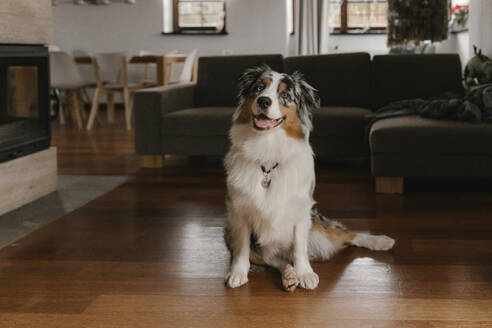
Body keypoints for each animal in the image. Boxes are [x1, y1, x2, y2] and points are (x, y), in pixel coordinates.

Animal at [224, 65, 396, 290]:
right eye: (259, 88)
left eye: (285, 95)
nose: (263, 101)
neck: (268, 154)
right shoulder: (239, 211)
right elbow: (242, 247)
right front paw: (238, 272)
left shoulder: (300, 208)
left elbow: (299, 246)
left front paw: (305, 273)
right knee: (275, 259)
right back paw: (289, 275)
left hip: (318, 227)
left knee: (346, 235)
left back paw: (382, 241)